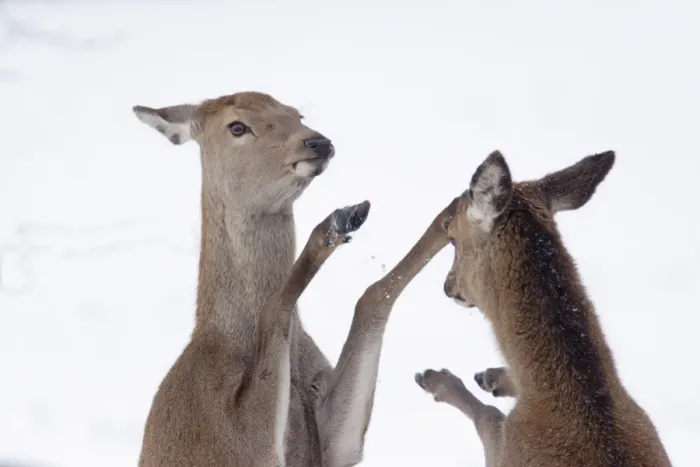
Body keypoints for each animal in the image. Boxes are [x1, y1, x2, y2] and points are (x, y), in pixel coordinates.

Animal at [131, 90, 459, 466]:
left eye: (295, 113)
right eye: (237, 126)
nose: (318, 142)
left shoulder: (335, 443)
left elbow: (372, 297)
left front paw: (459, 209)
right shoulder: (241, 439)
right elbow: (276, 310)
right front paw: (333, 225)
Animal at [414, 150, 673, 467]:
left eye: (450, 234)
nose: (448, 285)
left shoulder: (504, 453)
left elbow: (488, 417)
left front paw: (436, 379)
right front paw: (494, 377)